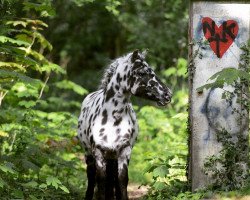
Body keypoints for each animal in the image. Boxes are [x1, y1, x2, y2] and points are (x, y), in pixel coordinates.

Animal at [77, 50, 172, 200]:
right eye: (142, 73)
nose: (168, 95)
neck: (112, 118)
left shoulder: (124, 151)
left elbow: (121, 179)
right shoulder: (98, 152)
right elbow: (101, 179)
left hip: (112, 156)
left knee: (112, 179)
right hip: (89, 153)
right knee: (92, 177)